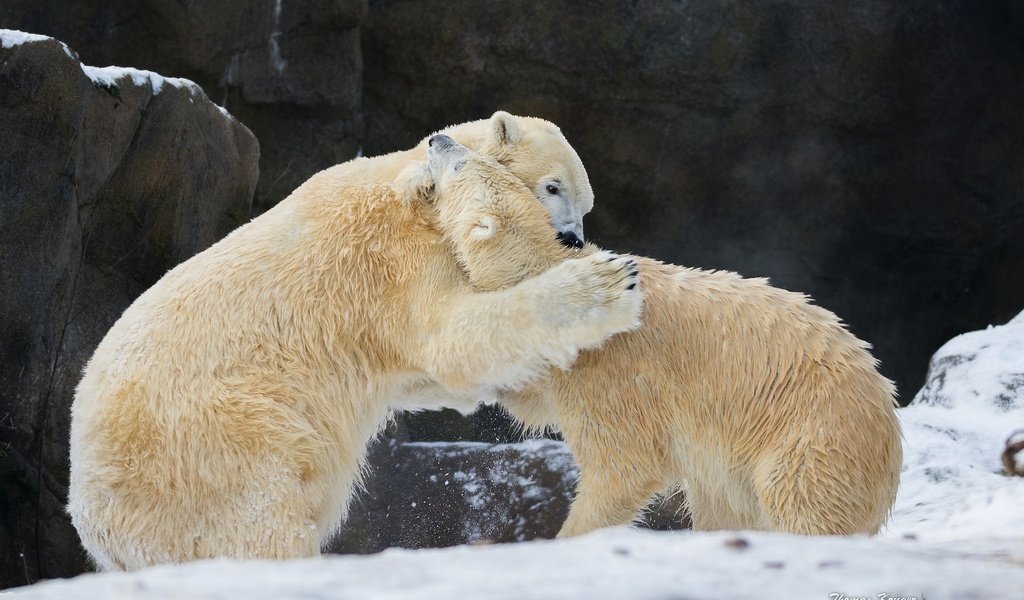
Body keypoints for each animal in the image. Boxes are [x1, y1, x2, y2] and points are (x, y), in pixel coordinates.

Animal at [68, 133, 634, 569]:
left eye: (586, 204)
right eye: (553, 186)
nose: (572, 239)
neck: (411, 184)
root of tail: (96, 526)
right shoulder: (397, 256)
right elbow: (452, 338)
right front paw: (606, 285)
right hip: (219, 445)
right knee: (258, 527)